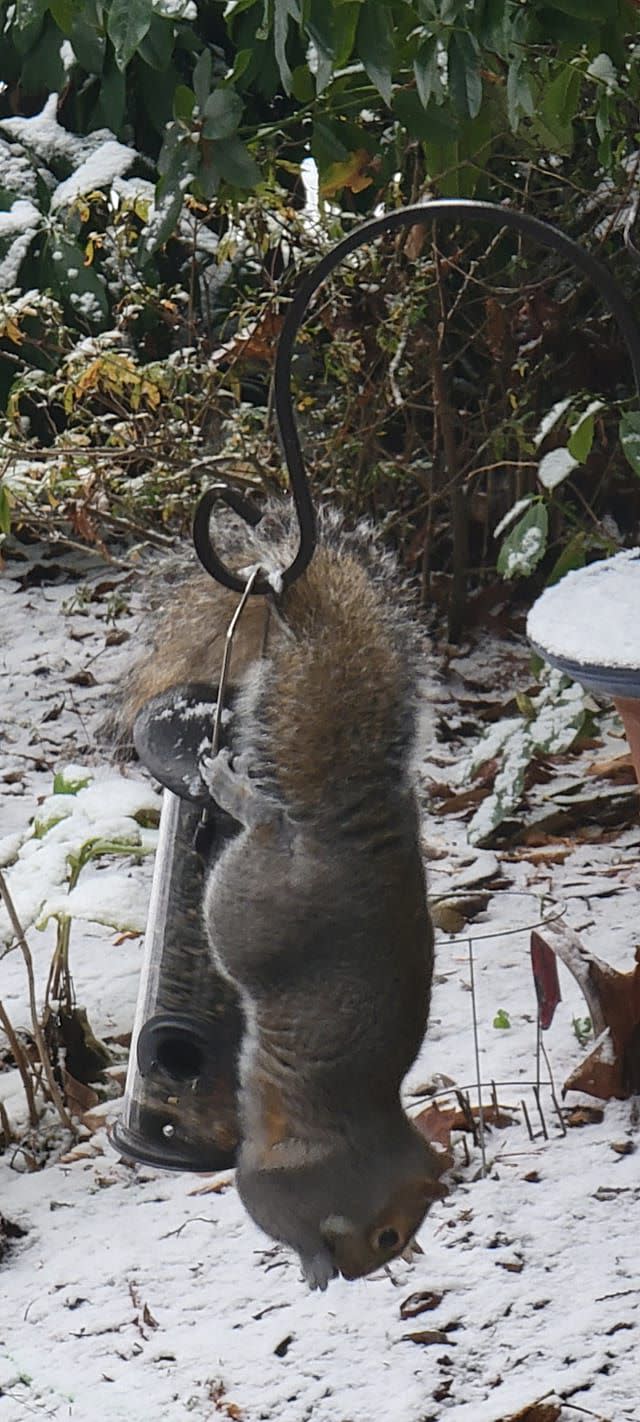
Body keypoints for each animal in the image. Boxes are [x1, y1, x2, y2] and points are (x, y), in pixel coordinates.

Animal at [115, 500, 443, 1291]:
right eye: (389, 1236)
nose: (358, 1275)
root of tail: (346, 831)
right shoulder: (277, 1181)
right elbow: (266, 1203)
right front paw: (313, 1261)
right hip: (249, 902)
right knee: (262, 826)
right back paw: (233, 789)